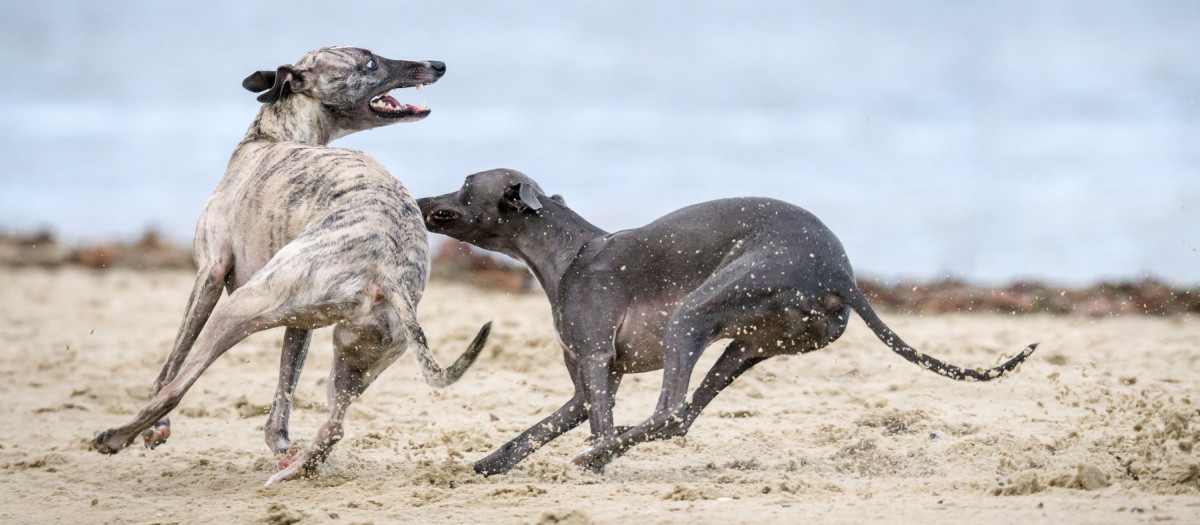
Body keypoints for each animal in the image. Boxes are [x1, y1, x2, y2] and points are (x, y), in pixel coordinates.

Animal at [88, 45, 492, 484]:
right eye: (369, 61)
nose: (439, 65)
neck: (272, 137)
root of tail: (389, 271)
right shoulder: (302, 322)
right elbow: (283, 394)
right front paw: (281, 448)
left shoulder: (210, 272)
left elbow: (171, 365)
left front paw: (156, 430)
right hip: (354, 356)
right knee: (334, 426)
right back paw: (295, 469)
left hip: (241, 306)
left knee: (177, 388)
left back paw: (115, 436)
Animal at [417, 169, 1036, 474]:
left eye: (466, 184)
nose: (419, 200)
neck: (570, 251)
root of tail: (841, 273)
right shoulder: (589, 383)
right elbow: (540, 429)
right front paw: (489, 465)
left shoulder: (595, 359)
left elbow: (599, 423)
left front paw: (595, 462)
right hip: (746, 345)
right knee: (684, 416)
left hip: (693, 314)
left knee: (670, 413)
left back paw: (599, 456)